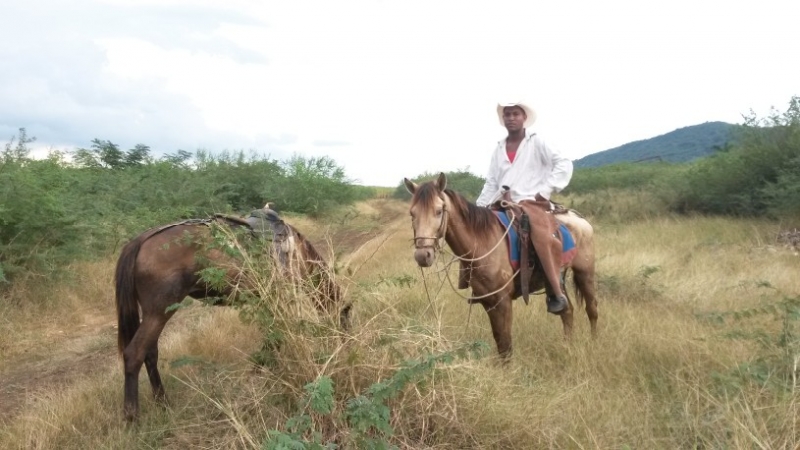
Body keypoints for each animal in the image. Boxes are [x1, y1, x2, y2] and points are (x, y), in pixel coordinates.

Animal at [115, 206, 346, 420]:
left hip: (153, 314)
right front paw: (259, 371)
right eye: (346, 321)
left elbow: (274, 337)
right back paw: (132, 417)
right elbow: (275, 338)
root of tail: (141, 240)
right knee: (134, 354)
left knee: (150, 353)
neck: (298, 252)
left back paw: (163, 403)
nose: (344, 348)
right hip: (158, 312)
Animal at [404, 172, 596, 358]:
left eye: (438, 211)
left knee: (592, 309)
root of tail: (578, 218)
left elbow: (505, 343)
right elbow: (500, 340)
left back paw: (594, 341)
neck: (482, 242)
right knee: (567, 311)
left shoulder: (503, 301)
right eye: (412, 214)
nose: (423, 255)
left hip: (585, 273)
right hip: (557, 279)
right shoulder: (489, 302)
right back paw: (567, 346)